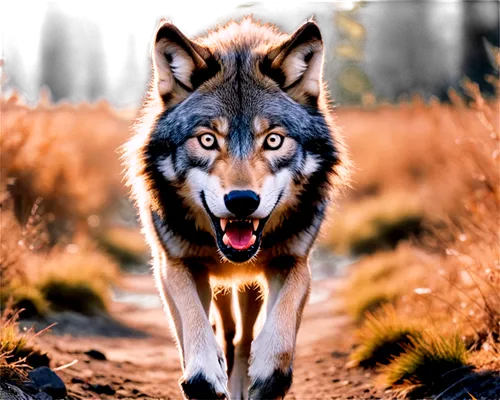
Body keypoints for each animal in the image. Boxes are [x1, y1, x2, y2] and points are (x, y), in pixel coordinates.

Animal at [122, 12, 348, 400]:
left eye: (273, 140)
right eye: (207, 140)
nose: (242, 201)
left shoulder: (294, 260)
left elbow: (282, 322)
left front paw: (269, 373)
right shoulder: (174, 263)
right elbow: (194, 322)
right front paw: (203, 374)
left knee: (243, 336)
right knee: (226, 331)